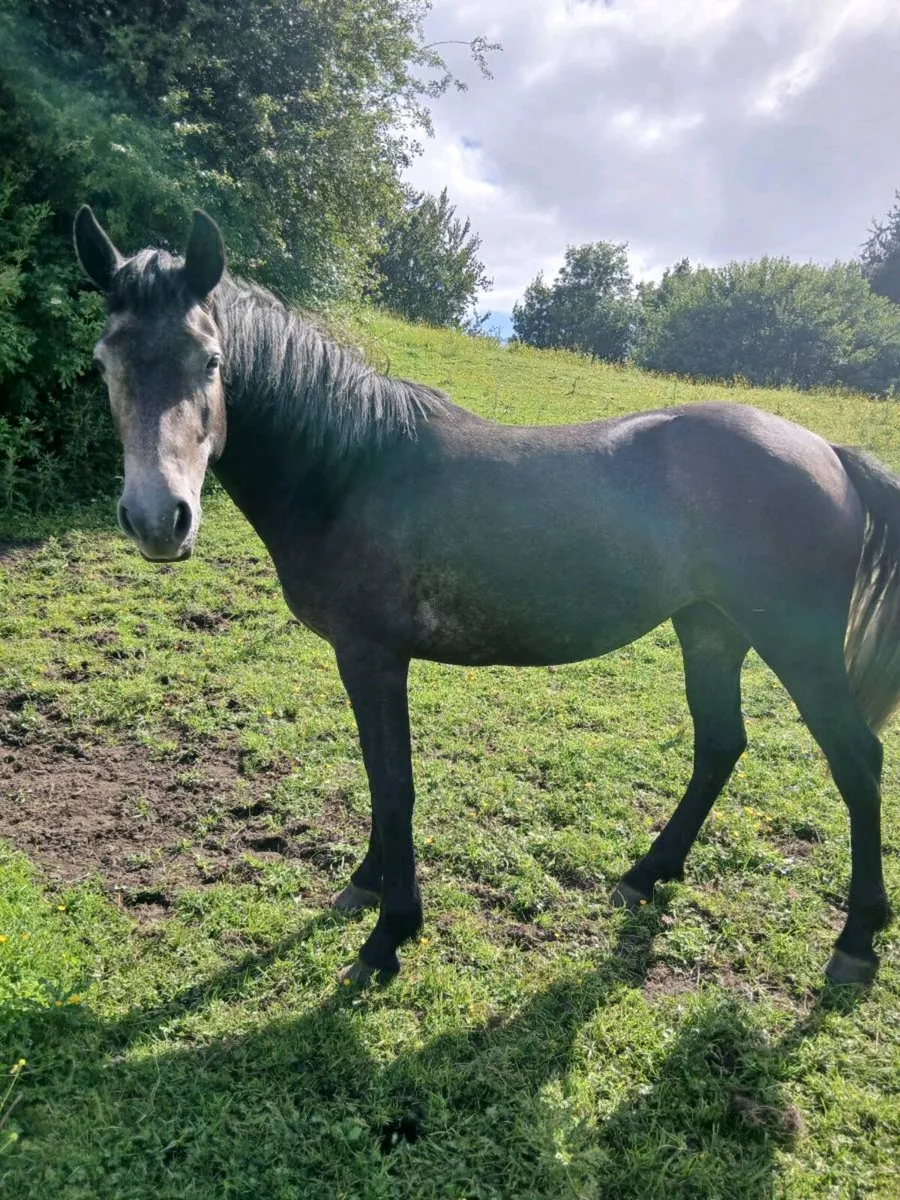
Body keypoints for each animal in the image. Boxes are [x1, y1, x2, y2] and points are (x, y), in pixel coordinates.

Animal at [73, 206, 897, 987]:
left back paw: (856, 943)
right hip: (711, 628)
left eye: (210, 360)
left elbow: (394, 784)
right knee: (721, 743)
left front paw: (388, 936)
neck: (350, 469)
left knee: (856, 759)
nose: (159, 519)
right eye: (104, 361)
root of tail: (828, 452)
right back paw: (646, 875)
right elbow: (380, 778)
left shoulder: (371, 656)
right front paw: (367, 885)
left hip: (796, 645)